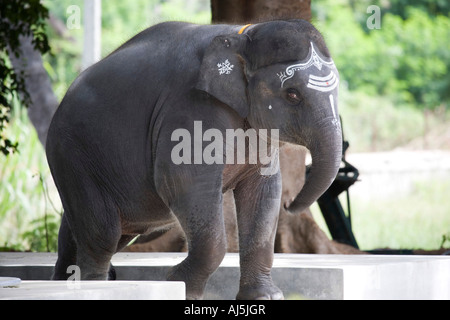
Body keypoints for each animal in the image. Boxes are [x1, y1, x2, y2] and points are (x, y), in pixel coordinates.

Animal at [46, 19, 342, 300]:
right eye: (292, 94)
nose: (291, 205)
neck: (244, 34)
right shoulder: (190, 108)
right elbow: (183, 181)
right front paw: (176, 283)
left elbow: (263, 191)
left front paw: (266, 296)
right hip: (73, 154)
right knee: (104, 233)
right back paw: (97, 286)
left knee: (93, 230)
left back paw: (65, 280)